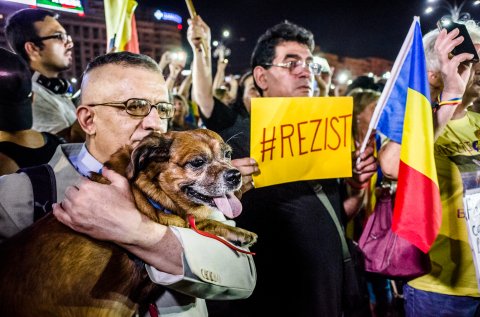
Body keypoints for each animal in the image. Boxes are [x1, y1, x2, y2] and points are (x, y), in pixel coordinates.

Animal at [0, 129, 256, 316]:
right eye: (197, 162)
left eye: (228, 155)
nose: (235, 175)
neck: (149, 185)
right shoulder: (166, 219)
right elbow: (200, 223)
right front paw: (239, 232)